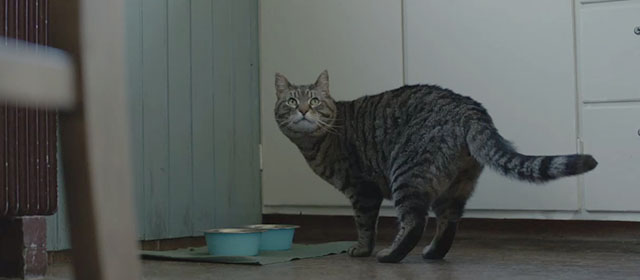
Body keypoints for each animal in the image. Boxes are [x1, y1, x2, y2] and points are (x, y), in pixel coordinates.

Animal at [272, 69, 596, 262]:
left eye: (315, 101)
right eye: (291, 102)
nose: (303, 111)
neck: (317, 142)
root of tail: (468, 107)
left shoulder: (362, 190)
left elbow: (364, 225)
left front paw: (362, 249)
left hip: (407, 173)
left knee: (414, 222)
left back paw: (390, 255)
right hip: (454, 185)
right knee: (448, 222)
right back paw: (433, 253)